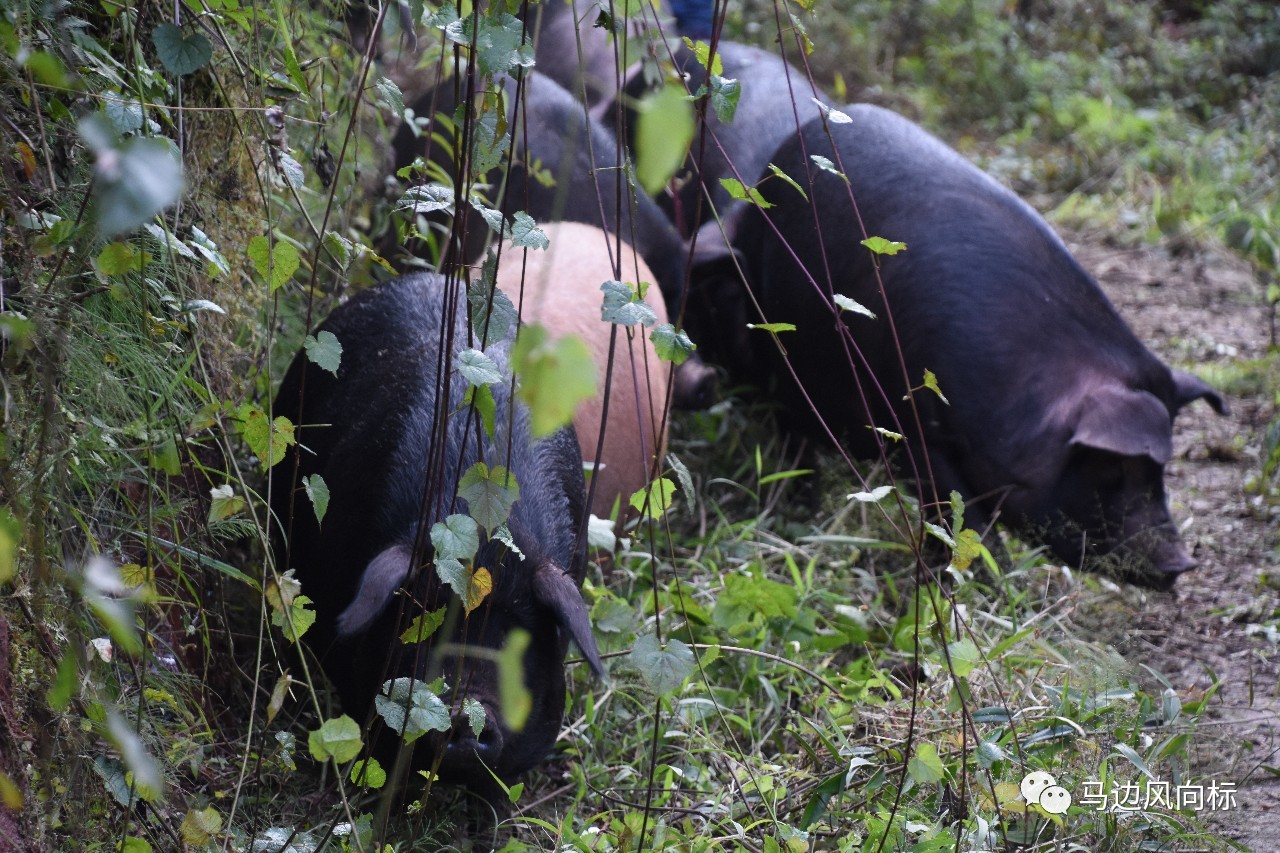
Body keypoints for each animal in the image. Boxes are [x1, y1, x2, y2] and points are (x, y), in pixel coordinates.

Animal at [696, 104, 1223, 584]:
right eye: (1112, 469)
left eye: (1160, 473)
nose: (1183, 563)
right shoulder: (916, 425)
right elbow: (963, 518)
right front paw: (994, 581)